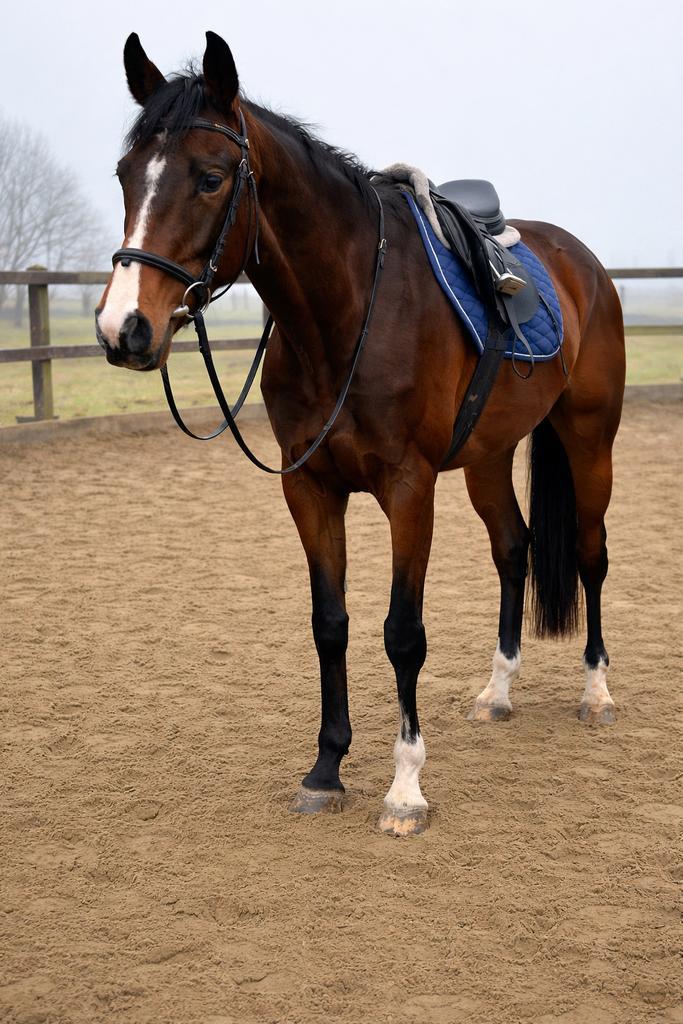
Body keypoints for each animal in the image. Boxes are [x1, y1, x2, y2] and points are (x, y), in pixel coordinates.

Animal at [95, 31, 625, 837]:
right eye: (126, 176)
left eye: (211, 177)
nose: (124, 328)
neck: (345, 312)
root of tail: (581, 261)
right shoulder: (311, 487)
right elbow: (331, 623)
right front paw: (325, 768)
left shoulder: (408, 490)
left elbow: (402, 633)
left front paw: (405, 788)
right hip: (488, 457)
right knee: (514, 550)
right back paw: (497, 691)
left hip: (589, 438)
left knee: (591, 556)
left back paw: (595, 691)